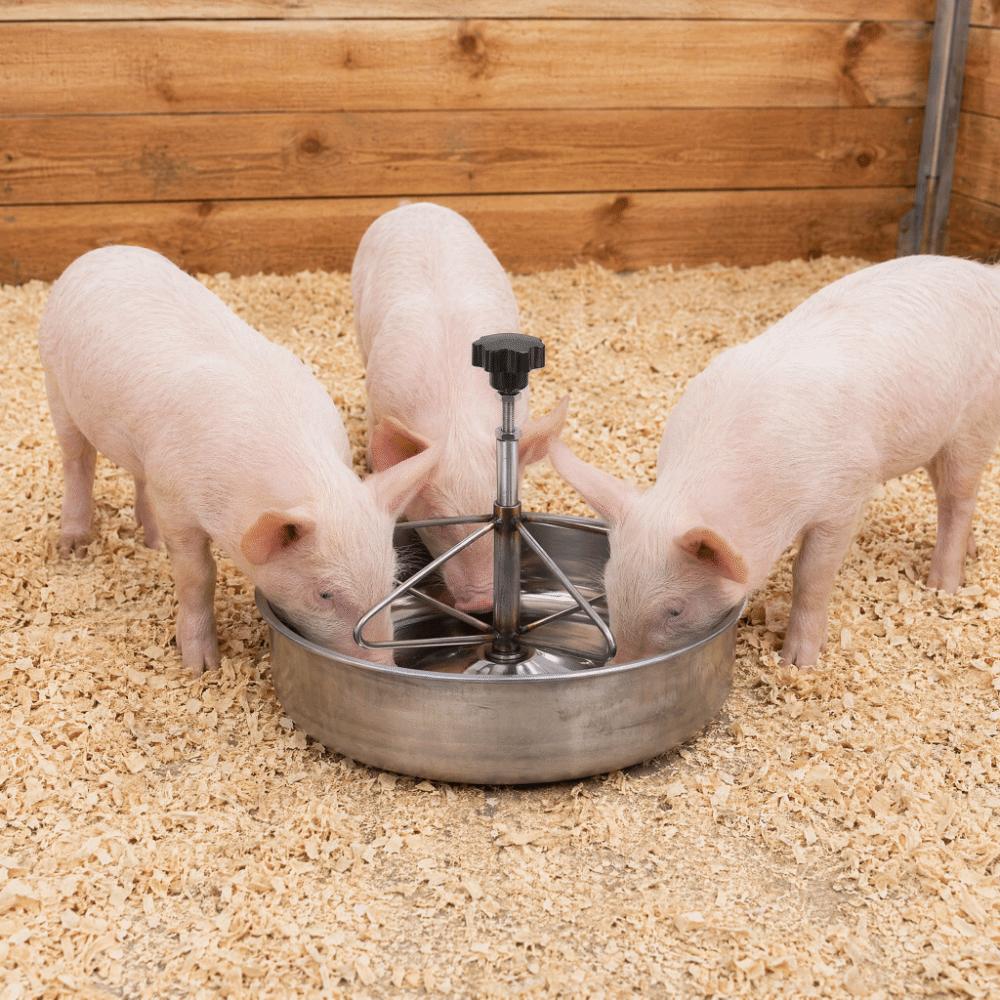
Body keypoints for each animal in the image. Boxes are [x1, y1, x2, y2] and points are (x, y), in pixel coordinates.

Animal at [39, 245, 439, 674]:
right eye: (325, 595)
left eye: (391, 576)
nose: (385, 665)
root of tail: (101, 252)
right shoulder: (177, 502)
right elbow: (198, 575)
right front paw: (201, 666)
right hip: (55, 383)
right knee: (77, 460)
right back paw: (74, 547)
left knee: (137, 474)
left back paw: (152, 542)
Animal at [550, 255, 1000, 666]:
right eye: (609, 585)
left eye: (675, 610)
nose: (623, 665)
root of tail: (988, 276)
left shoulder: (846, 494)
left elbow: (810, 575)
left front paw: (796, 664)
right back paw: (971, 554)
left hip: (974, 420)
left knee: (958, 498)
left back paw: (942, 586)